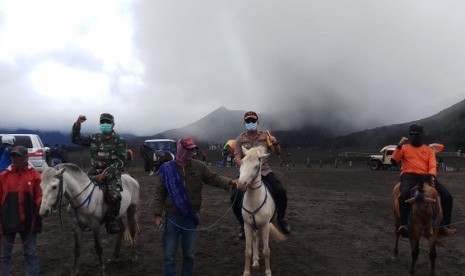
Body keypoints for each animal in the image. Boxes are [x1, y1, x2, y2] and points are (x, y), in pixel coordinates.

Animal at [236, 146, 286, 274]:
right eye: (242, 162)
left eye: (256, 166)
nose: (241, 184)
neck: (254, 201)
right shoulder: (248, 226)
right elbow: (248, 251)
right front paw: (246, 272)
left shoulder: (265, 226)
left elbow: (266, 251)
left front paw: (268, 272)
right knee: (255, 239)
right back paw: (255, 261)